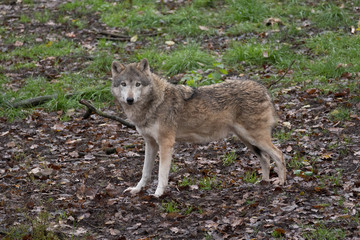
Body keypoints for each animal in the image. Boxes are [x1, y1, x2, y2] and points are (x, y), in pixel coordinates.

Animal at [111, 58, 286, 197]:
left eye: (138, 84)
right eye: (124, 84)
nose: (130, 99)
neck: (154, 103)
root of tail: (263, 89)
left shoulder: (166, 143)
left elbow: (162, 174)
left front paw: (158, 194)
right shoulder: (150, 143)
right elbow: (145, 172)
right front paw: (137, 190)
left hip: (255, 138)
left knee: (279, 154)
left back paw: (281, 183)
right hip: (248, 140)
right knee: (265, 158)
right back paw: (263, 182)